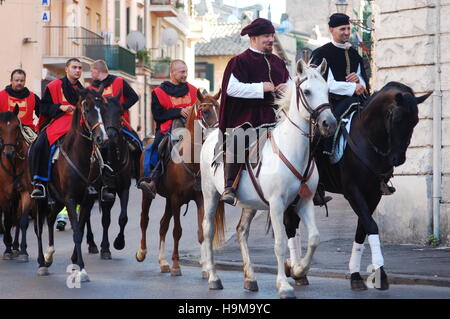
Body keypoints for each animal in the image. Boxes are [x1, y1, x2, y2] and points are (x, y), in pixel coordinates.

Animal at [134, 90, 225, 278]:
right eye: (205, 111)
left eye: (219, 109)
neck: (192, 161)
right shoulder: (176, 199)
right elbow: (177, 231)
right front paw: (176, 265)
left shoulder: (199, 199)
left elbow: (201, 232)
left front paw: (205, 269)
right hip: (149, 195)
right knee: (144, 219)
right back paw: (142, 252)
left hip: (169, 200)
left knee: (162, 225)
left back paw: (163, 262)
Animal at [200, 58, 338, 298]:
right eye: (307, 91)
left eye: (327, 91)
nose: (329, 124)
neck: (293, 149)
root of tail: (210, 137)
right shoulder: (277, 205)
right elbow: (280, 243)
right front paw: (284, 285)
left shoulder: (304, 202)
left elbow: (314, 238)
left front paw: (299, 270)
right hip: (210, 195)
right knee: (208, 230)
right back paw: (214, 278)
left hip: (250, 203)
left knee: (242, 232)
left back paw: (250, 278)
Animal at [284, 82, 432, 290]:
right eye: (397, 118)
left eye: (416, 121)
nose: (398, 159)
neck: (368, 139)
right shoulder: (352, 191)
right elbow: (371, 225)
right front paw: (380, 273)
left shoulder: (374, 193)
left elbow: (362, 229)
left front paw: (356, 275)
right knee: (290, 224)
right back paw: (296, 269)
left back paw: (298, 271)